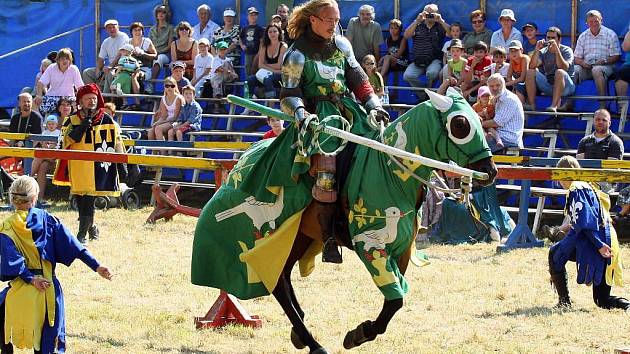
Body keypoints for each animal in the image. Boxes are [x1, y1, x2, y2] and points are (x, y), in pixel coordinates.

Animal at [191, 87, 498, 352]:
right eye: (460, 124)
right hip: (275, 233)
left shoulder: (401, 252)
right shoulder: (373, 249)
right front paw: (358, 334)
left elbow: (396, 300)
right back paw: (313, 343)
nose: (490, 170)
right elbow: (395, 298)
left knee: (282, 279)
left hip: (297, 237)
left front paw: (362, 331)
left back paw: (300, 331)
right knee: (276, 281)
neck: (390, 173)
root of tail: (244, 159)